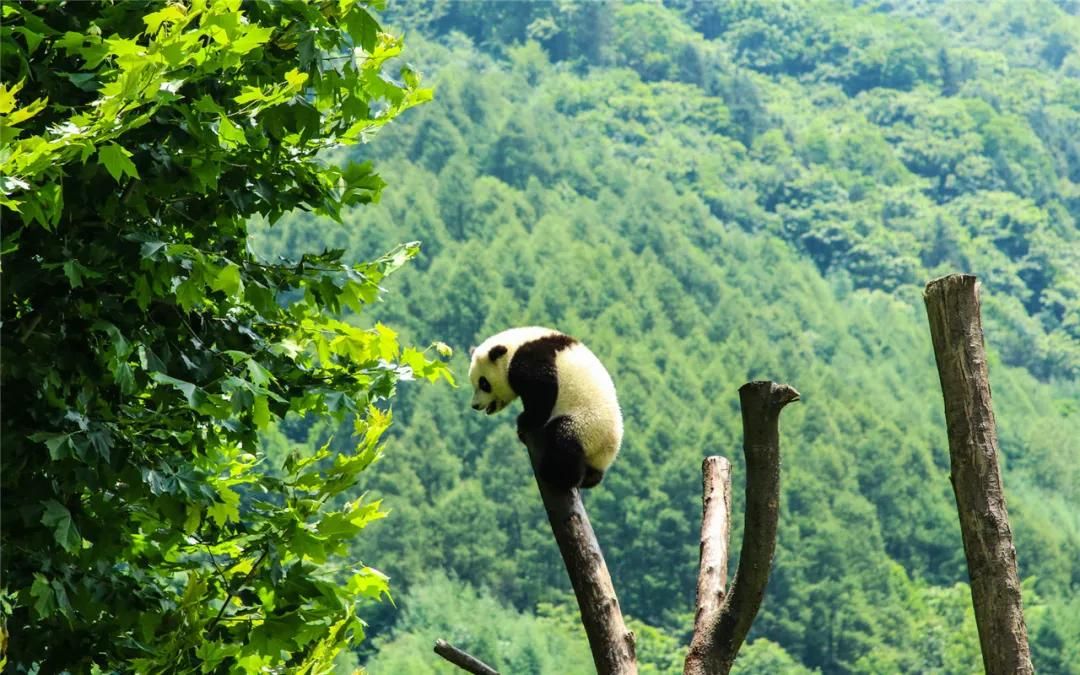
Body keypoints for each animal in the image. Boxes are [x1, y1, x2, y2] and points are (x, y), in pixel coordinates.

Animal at [466, 328, 626, 490]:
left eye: (484, 383)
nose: (475, 405)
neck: (513, 348)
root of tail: (609, 448)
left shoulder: (529, 360)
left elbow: (542, 390)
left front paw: (525, 420)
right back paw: (589, 478)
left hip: (586, 423)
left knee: (564, 439)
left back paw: (555, 474)